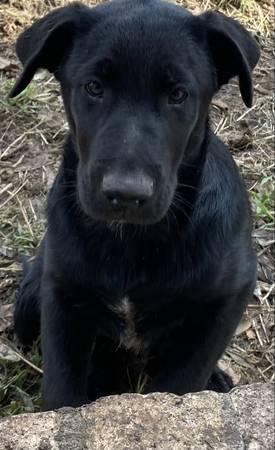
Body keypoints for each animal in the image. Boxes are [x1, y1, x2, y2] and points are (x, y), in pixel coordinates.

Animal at [11, 0, 260, 412]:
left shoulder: (227, 298)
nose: (126, 194)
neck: (131, 240)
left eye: (178, 94)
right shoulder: (62, 296)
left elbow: (181, 382)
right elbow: (62, 390)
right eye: (94, 87)